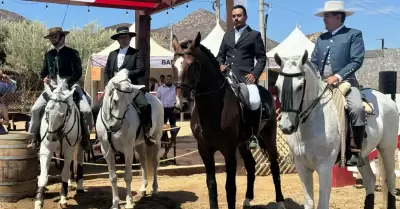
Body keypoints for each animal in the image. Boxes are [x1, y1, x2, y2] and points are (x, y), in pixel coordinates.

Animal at [34, 80, 85, 209]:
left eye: (63, 115)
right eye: (47, 111)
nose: (51, 137)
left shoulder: (68, 150)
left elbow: (65, 173)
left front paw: (63, 198)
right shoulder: (46, 150)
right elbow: (43, 176)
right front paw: (38, 201)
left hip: (78, 147)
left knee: (78, 163)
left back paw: (79, 187)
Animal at [95, 69, 164, 209]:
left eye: (128, 104)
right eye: (115, 101)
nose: (115, 126)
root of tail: (155, 99)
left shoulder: (127, 150)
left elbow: (127, 176)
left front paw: (129, 202)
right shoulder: (106, 150)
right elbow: (113, 177)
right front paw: (115, 203)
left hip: (157, 139)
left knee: (154, 163)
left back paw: (154, 189)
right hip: (139, 144)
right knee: (143, 162)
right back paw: (143, 189)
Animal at [170, 31, 286, 209]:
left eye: (192, 64)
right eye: (172, 64)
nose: (179, 104)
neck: (213, 107)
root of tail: (267, 92)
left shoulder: (229, 151)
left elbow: (230, 187)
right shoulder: (205, 150)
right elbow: (211, 184)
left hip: (269, 136)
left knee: (274, 165)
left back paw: (280, 201)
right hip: (243, 144)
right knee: (251, 166)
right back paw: (247, 199)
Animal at [274, 51, 398, 209]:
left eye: (300, 86)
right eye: (277, 86)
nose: (286, 126)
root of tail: (388, 99)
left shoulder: (325, 167)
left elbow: (322, 204)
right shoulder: (302, 166)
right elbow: (309, 202)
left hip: (387, 148)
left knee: (391, 178)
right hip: (363, 155)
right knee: (370, 179)